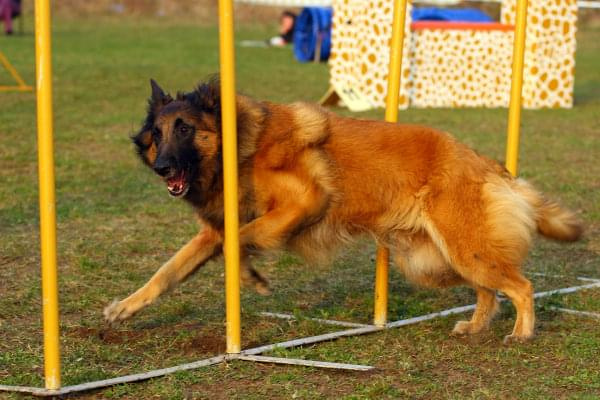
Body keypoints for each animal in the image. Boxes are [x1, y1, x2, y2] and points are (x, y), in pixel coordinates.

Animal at [103, 78, 580, 344]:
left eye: (185, 128)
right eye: (157, 134)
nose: (163, 168)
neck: (243, 146)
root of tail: (490, 165)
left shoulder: (307, 200)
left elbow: (240, 240)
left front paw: (250, 274)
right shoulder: (213, 230)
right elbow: (169, 270)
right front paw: (124, 307)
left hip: (461, 248)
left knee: (521, 286)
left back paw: (522, 333)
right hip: (434, 261)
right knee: (488, 290)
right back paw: (476, 328)